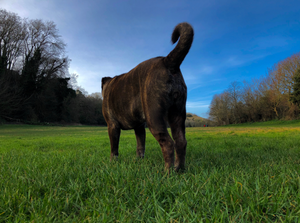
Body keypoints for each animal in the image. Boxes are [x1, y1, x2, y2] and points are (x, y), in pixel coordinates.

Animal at [102, 22, 193, 171]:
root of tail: (167, 61)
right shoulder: (139, 127)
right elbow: (140, 145)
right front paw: (139, 161)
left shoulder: (112, 125)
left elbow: (113, 148)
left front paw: (112, 163)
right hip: (177, 114)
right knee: (180, 141)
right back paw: (179, 169)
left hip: (154, 117)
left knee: (168, 143)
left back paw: (167, 172)